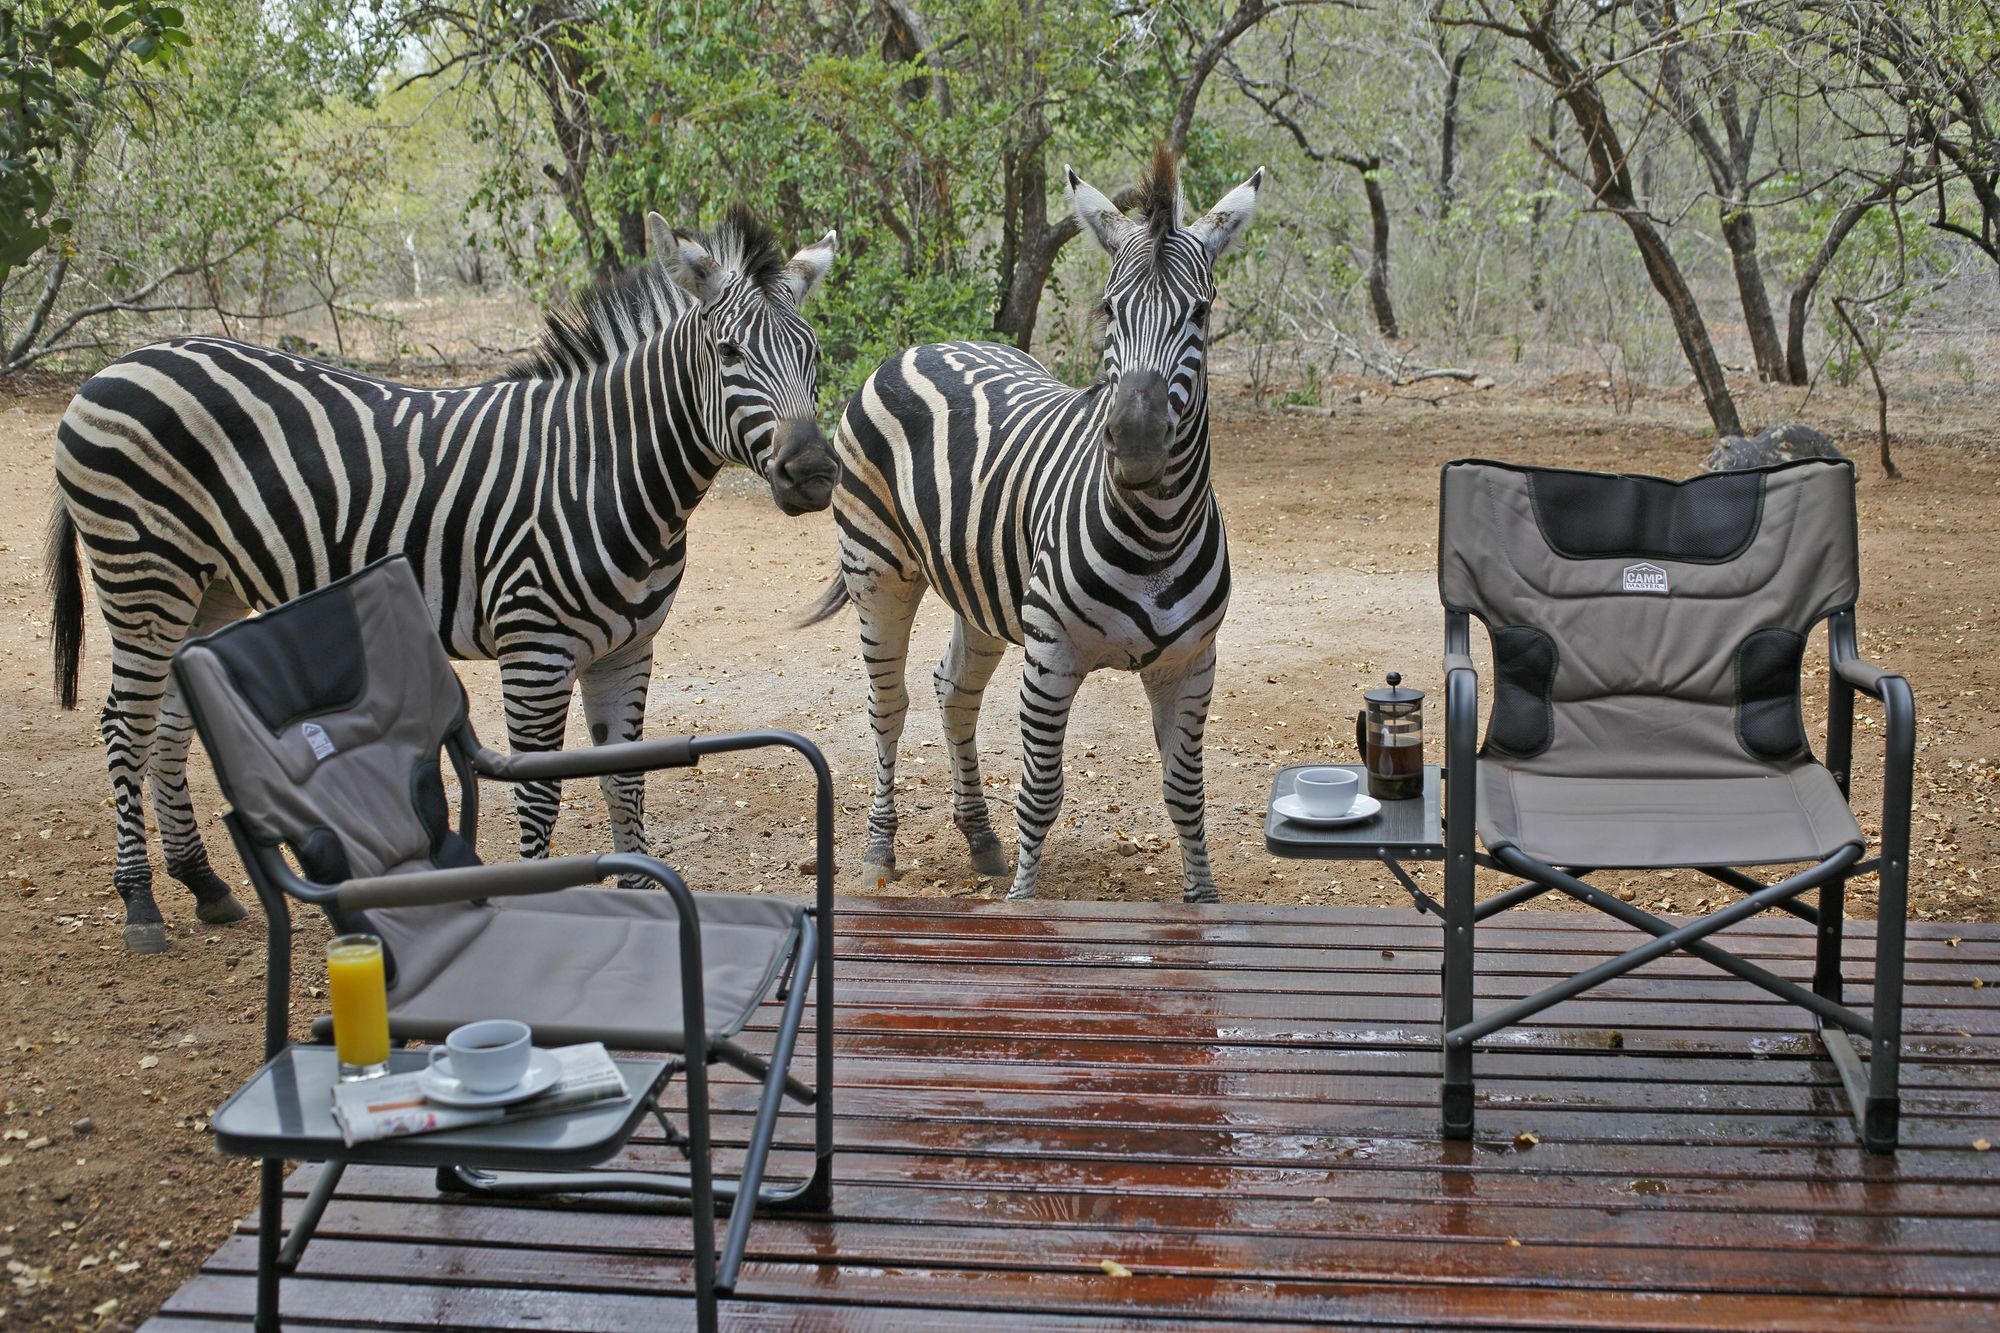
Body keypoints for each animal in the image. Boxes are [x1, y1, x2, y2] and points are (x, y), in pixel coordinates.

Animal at [45, 208, 844, 948]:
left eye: (813, 354)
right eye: (729, 351)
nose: (812, 473)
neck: (602, 469)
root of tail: (123, 362)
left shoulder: (628, 649)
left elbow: (626, 782)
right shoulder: (534, 648)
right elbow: (540, 795)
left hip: (209, 588)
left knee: (167, 728)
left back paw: (203, 883)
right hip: (143, 575)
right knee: (124, 724)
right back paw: (141, 903)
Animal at [804, 153, 1256, 904]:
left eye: (1200, 311)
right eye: (1110, 309)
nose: (1136, 442)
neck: (1156, 533)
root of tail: (926, 344)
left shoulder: (1193, 663)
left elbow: (1186, 793)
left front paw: (1204, 901)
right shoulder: (1050, 656)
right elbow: (1042, 792)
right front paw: (1022, 902)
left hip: (981, 588)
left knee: (953, 690)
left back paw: (980, 838)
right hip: (877, 570)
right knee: (888, 704)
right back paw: (879, 851)